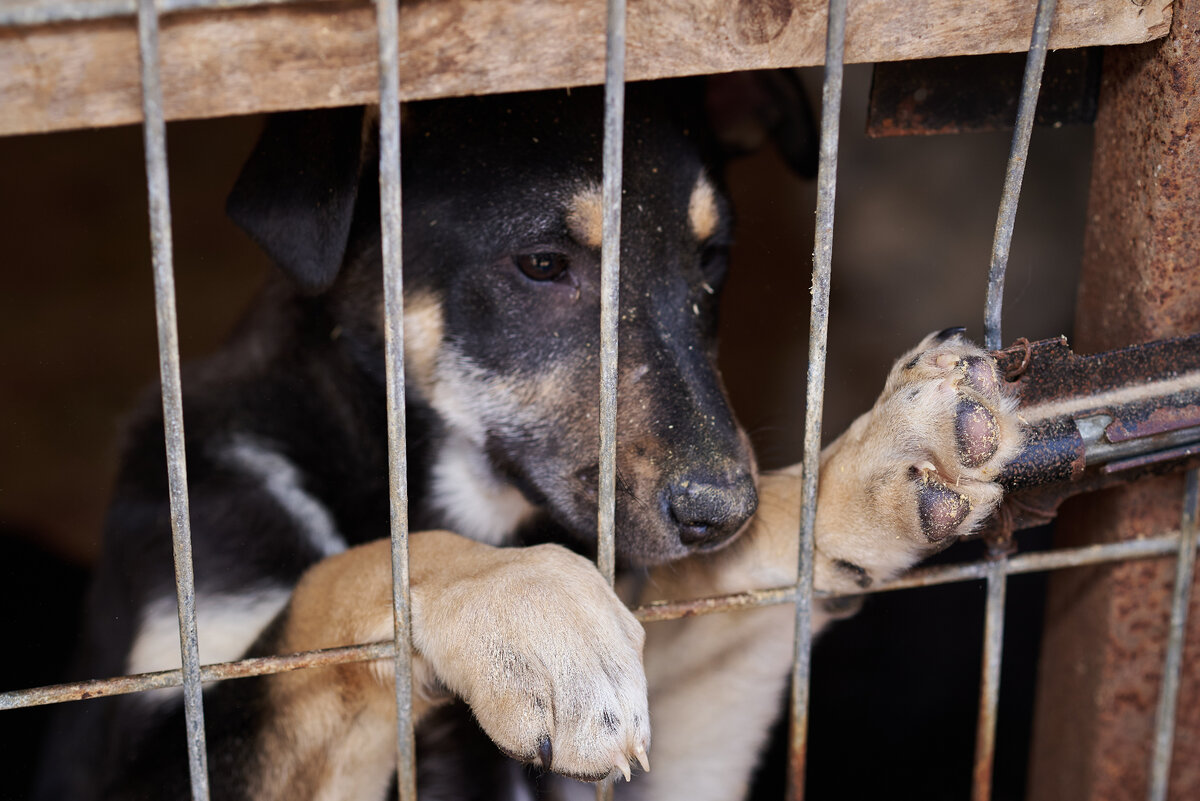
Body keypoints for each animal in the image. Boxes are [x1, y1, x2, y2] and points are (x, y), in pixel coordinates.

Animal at [32, 79, 1017, 801]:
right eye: (542, 265)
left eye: (710, 262)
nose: (721, 510)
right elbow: (337, 586)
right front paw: (534, 605)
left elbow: (700, 594)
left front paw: (872, 470)